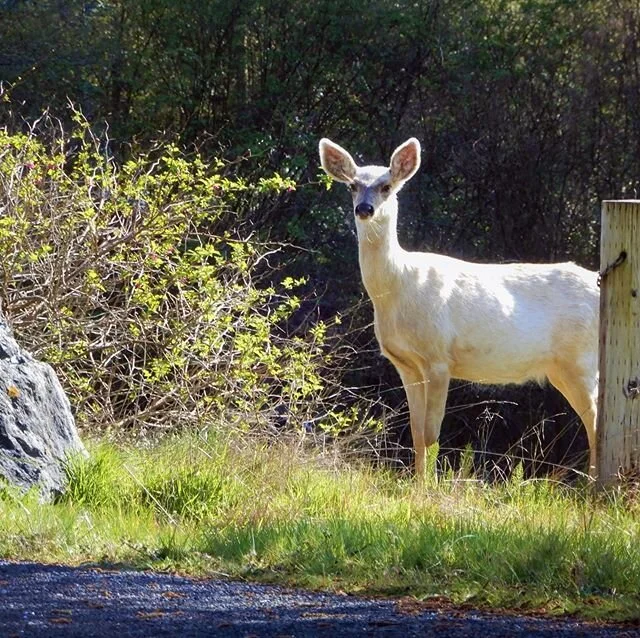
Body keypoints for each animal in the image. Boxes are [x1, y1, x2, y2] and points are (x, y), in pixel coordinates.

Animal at [318, 137, 599, 479]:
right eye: (352, 186)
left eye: (386, 186)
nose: (364, 209)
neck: (399, 287)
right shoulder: (406, 365)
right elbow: (415, 432)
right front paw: (417, 482)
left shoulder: (439, 358)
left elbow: (431, 434)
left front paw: (430, 485)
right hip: (560, 367)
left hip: (581, 358)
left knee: (597, 422)